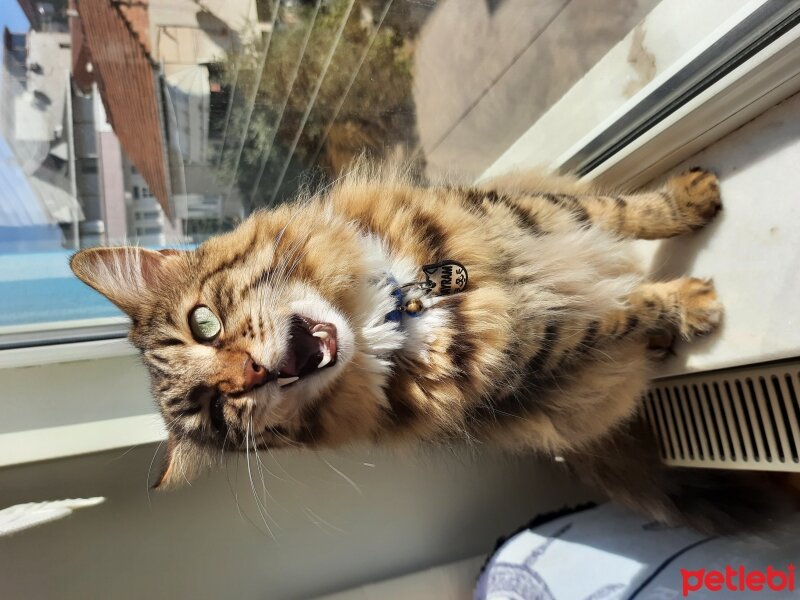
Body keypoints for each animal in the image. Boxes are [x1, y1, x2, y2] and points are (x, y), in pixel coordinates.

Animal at [70, 165, 792, 536]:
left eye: (204, 324)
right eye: (221, 409)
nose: (247, 373)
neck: (397, 309)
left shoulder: (526, 212)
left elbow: (617, 212)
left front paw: (689, 202)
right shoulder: (545, 348)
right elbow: (622, 311)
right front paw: (687, 306)